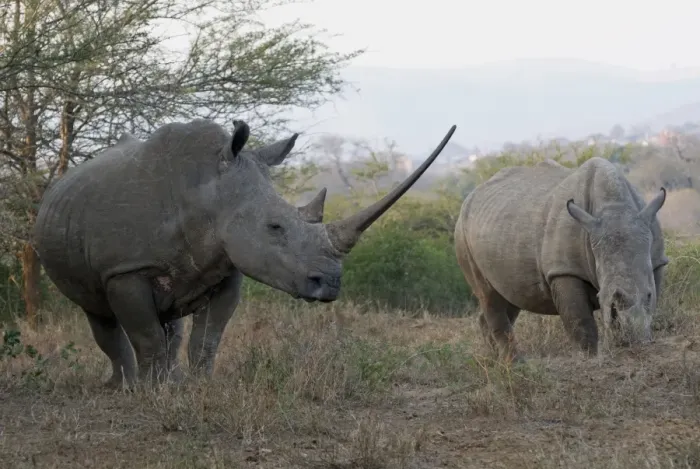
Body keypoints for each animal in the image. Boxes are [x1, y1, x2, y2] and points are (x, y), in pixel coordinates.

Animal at [33, 118, 456, 387]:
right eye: (275, 227)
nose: (331, 284)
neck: (209, 192)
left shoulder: (227, 266)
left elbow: (207, 339)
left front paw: (197, 388)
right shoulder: (125, 270)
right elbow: (146, 335)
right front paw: (151, 394)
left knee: (170, 325)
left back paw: (169, 380)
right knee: (99, 314)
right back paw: (124, 387)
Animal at [453, 156, 667, 361]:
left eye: (649, 295)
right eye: (601, 297)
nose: (627, 340)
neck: (615, 207)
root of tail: (469, 198)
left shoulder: (656, 261)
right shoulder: (564, 270)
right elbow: (580, 321)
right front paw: (589, 358)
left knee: (509, 298)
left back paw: (494, 361)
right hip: (462, 235)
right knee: (489, 295)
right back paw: (514, 364)